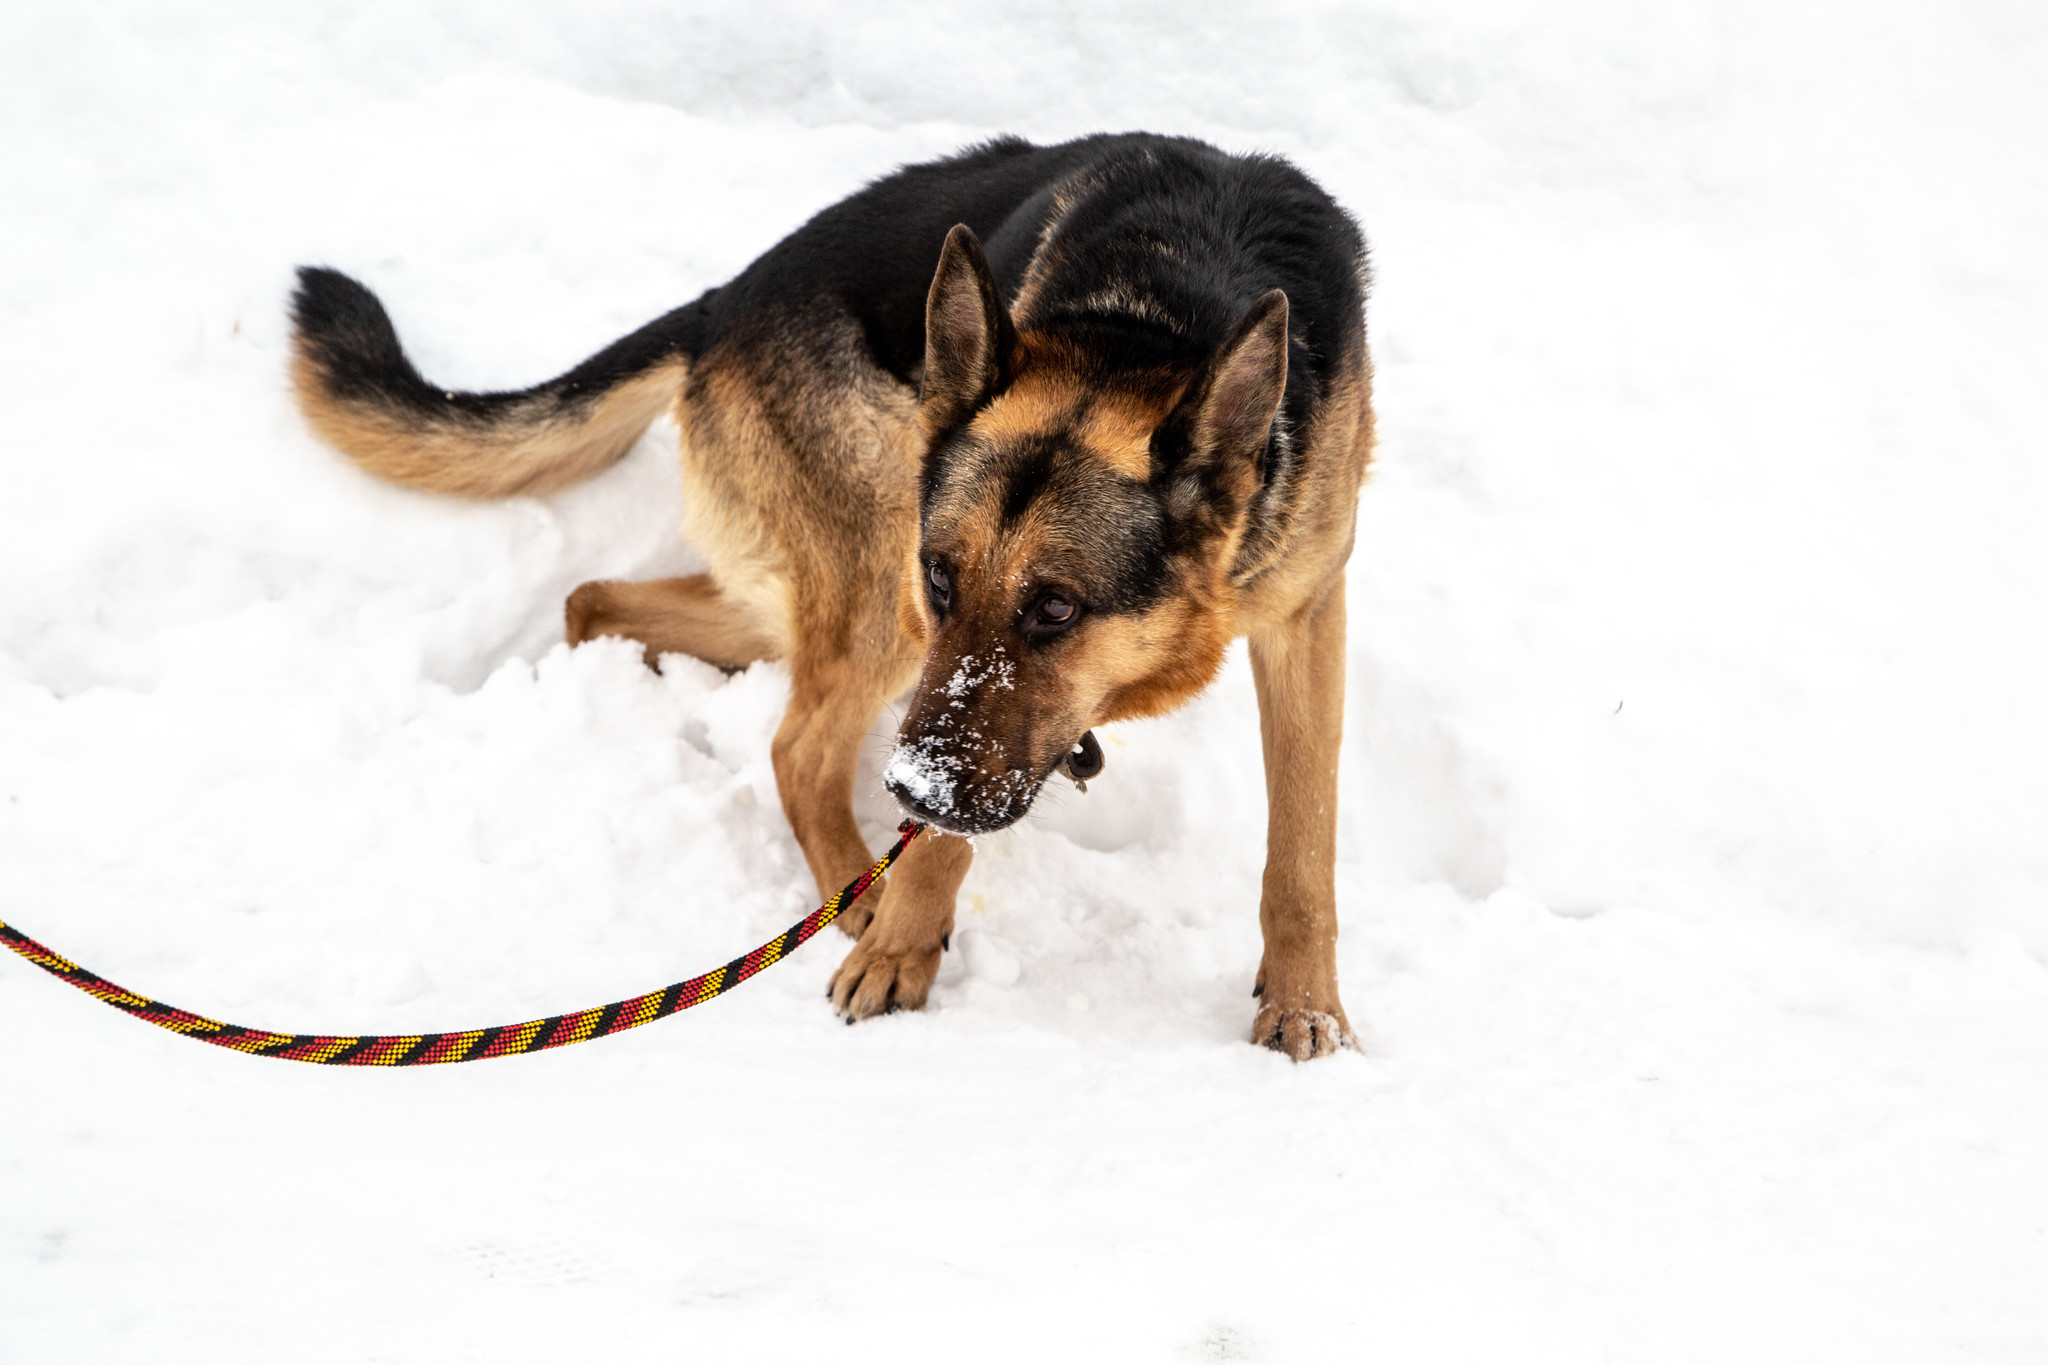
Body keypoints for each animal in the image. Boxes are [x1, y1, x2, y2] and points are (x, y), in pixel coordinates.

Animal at [288, 133, 1376, 1064]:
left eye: (1056, 609)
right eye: (944, 576)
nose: (910, 794)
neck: (1155, 315)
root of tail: (719, 304)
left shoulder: (1307, 616)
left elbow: (1304, 840)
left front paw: (1304, 1008)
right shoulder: (931, 640)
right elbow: (940, 844)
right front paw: (899, 949)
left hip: (815, 601)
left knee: (594, 599)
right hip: (878, 575)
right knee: (797, 746)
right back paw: (860, 896)